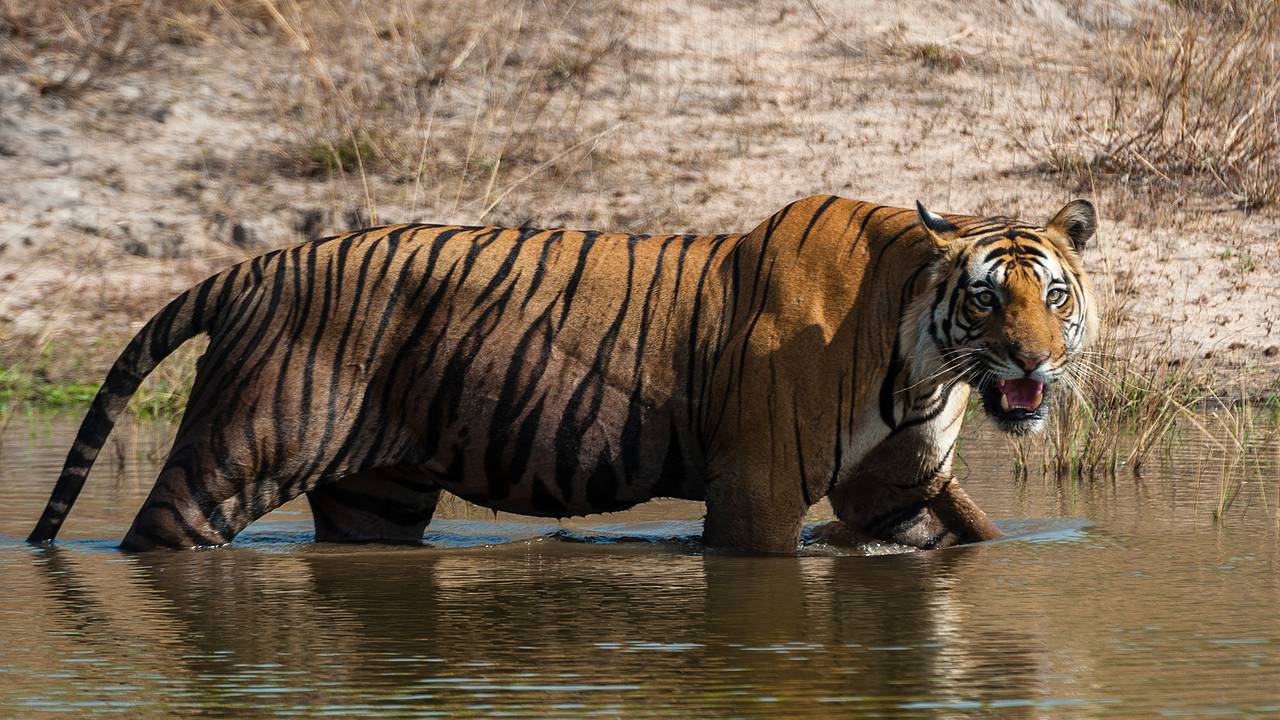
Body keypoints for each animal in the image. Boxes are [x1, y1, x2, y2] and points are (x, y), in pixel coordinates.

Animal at [27, 195, 1097, 553]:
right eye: (987, 301)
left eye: (1054, 296)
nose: (1034, 361)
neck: (925, 365)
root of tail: (260, 264)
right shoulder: (753, 490)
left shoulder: (896, 492)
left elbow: (955, 534)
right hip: (241, 450)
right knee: (161, 530)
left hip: (377, 494)